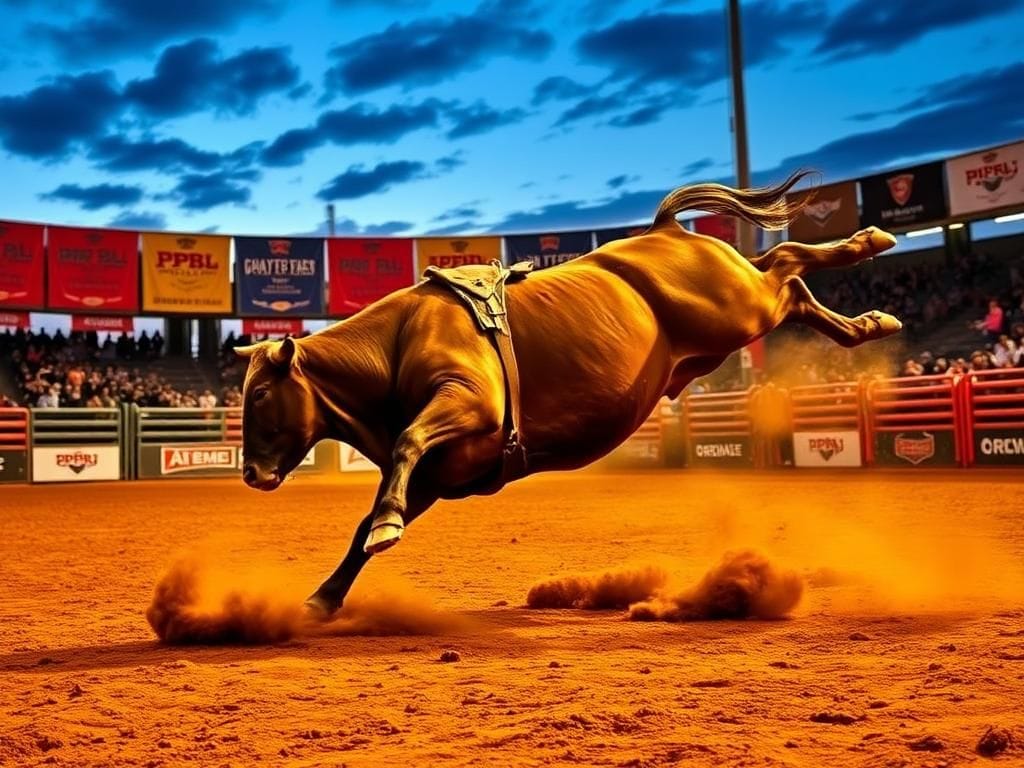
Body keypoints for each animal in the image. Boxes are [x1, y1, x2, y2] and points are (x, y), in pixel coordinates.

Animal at [234, 172, 900, 618]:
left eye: (261, 394)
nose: (249, 474)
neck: (396, 344)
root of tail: (663, 232)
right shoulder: (439, 477)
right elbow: (365, 525)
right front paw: (322, 599)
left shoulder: (469, 405)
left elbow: (405, 443)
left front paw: (383, 530)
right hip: (737, 318)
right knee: (794, 287)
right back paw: (869, 322)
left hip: (738, 308)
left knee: (786, 262)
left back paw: (869, 242)